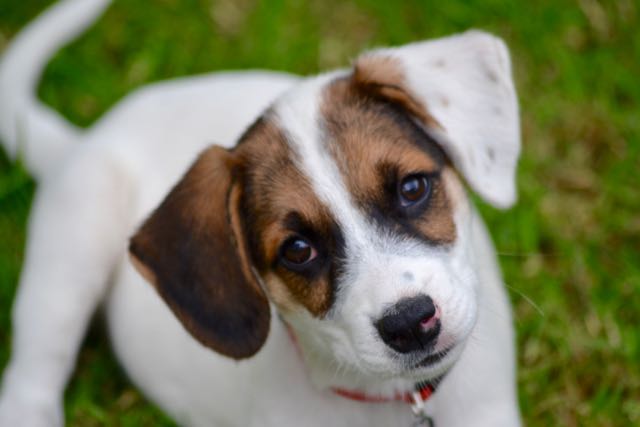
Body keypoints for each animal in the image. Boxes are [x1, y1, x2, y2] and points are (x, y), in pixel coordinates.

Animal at [0, 0, 522, 425]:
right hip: (71, 251)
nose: (411, 323)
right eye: (297, 250)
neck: (395, 400)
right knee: (34, 373)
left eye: (412, 188)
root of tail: (79, 141)